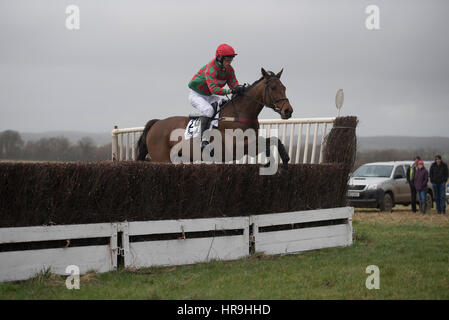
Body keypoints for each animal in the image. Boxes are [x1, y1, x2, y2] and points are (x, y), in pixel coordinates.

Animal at [135, 67, 292, 170]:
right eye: (273, 88)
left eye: (284, 87)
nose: (288, 111)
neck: (239, 114)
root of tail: (156, 123)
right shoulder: (236, 147)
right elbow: (266, 142)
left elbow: (274, 140)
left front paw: (283, 159)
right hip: (162, 158)